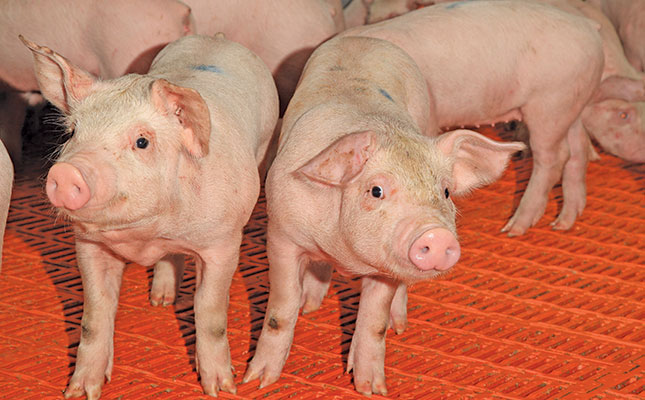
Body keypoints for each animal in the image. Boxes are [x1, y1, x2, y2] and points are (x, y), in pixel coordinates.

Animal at [23, 33, 279, 398]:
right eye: (72, 133)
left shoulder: (223, 242)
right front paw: (80, 391)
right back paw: (160, 301)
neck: (147, 233)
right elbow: (95, 315)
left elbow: (210, 311)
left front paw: (222, 388)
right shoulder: (89, 246)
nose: (67, 172)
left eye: (142, 141)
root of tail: (217, 37)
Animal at [242, 35, 524, 395]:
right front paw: (258, 381)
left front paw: (371, 389)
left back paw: (398, 323)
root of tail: (365, 38)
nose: (435, 234)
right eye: (376, 190)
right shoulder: (281, 236)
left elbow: (374, 321)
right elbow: (281, 308)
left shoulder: (385, 267)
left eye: (446, 191)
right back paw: (311, 304)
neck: (343, 253)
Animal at [341, 0, 605, 236]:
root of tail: (589, 27)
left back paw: (513, 229)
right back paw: (563, 223)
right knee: (577, 148)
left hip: (550, 102)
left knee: (553, 157)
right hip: (571, 102)